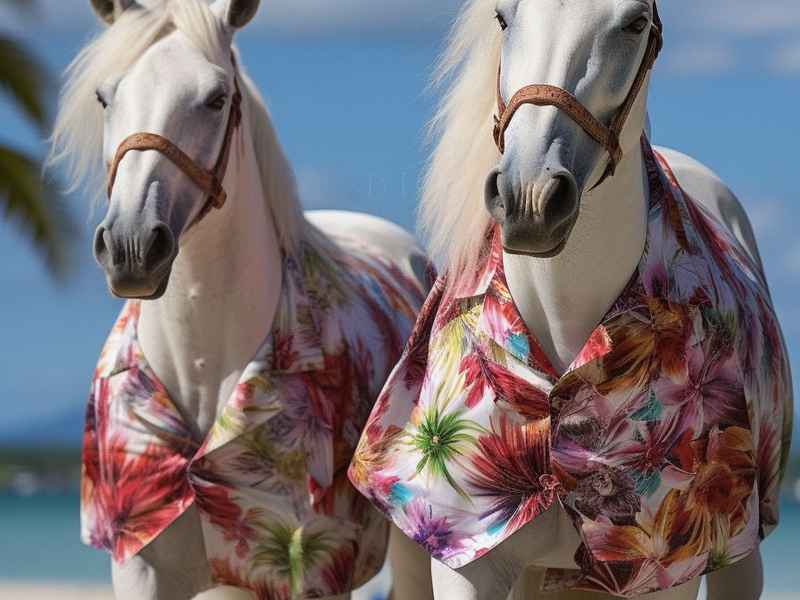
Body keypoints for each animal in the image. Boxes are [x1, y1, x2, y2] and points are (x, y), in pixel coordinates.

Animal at [48, 1, 435, 599]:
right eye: (104, 97)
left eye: (216, 98)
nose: (131, 247)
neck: (203, 362)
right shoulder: (138, 565)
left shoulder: (314, 568)